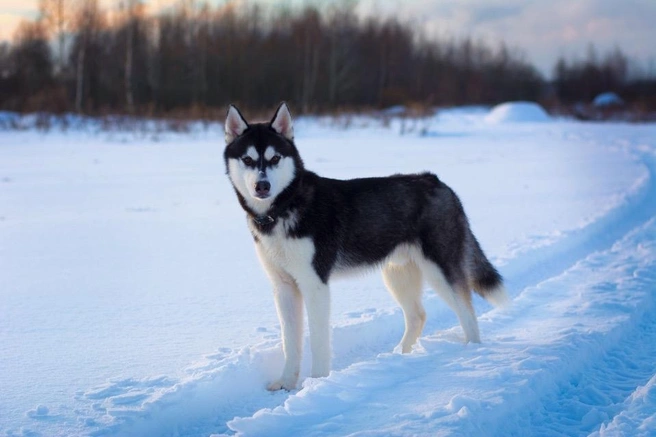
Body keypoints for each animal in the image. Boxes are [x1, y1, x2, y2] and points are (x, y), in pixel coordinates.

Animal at [224, 103, 508, 392]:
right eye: (248, 160)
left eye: (274, 159)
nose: (262, 185)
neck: (283, 208)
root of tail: (436, 181)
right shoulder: (283, 287)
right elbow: (289, 342)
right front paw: (286, 383)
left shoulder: (315, 284)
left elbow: (317, 341)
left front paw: (317, 381)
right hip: (397, 274)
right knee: (417, 315)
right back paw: (401, 355)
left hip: (440, 270)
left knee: (468, 312)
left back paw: (472, 351)